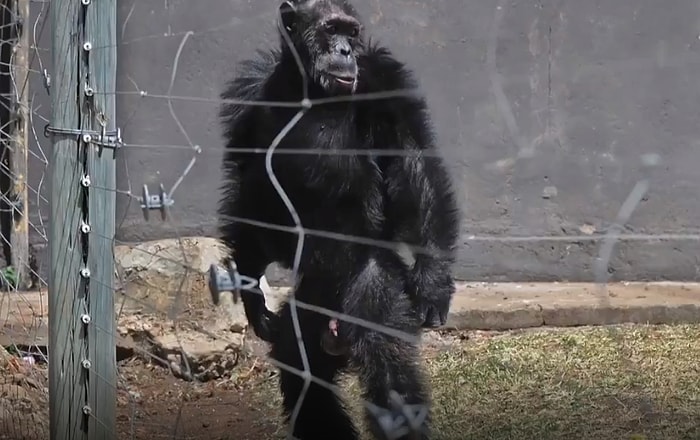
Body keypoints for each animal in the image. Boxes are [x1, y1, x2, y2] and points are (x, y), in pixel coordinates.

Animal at [216, 0, 462, 436]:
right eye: (331, 29)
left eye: (351, 32)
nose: (345, 50)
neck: (306, 88)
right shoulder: (248, 99)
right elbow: (248, 186)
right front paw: (251, 294)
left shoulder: (384, 79)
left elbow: (412, 157)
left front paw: (433, 284)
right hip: (311, 300)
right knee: (300, 369)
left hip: (374, 284)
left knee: (389, 372)